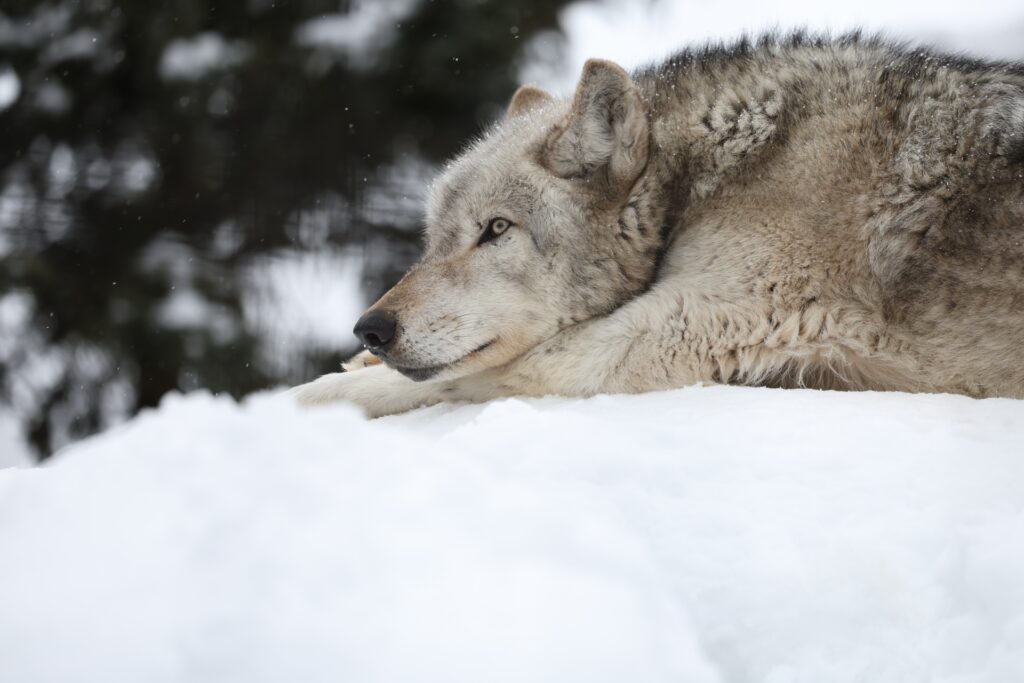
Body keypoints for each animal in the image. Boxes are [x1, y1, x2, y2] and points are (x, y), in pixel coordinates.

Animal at [288, 34, 1024, 417]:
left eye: (496, 229)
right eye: (434, 239)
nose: (372, 328)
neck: (704, 180)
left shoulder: (685, 327)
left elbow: (473, 374)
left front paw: (311, 395)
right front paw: (353, 364)